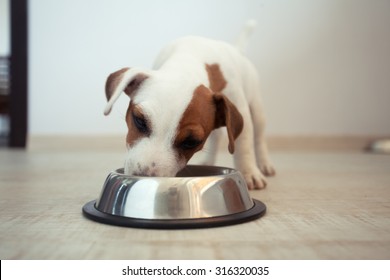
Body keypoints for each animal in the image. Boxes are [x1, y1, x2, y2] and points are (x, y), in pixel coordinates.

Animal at [103, 21, 274, 189]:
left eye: (191, 142)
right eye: (139, 121)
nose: (144, 177)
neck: (188, 60)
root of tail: (237, 49)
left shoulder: (240, 107)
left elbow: (243, 146)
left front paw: (249, 172)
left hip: (257, 110)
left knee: (258, 138)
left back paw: (264, 164)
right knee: (217, 135)